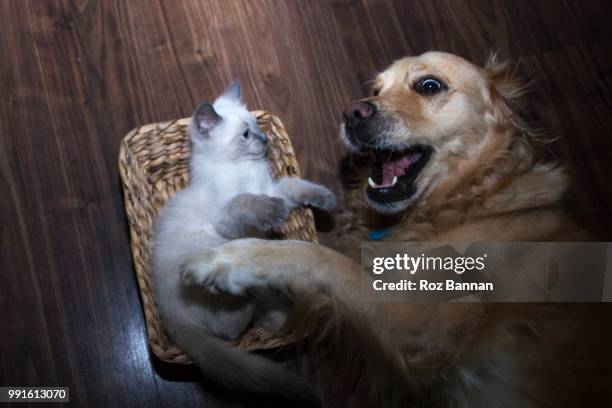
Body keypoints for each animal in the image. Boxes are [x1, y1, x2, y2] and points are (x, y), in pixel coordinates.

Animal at [152, 83, 334, 404]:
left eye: (257, 128)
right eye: (246, 134)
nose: (264, 140)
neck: (243, 168)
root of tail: (172, 320)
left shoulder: (274, 189)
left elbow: (295, 186)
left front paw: (326, 198)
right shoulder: (229, 219)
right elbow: (247, 201)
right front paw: (273, 213)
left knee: (260, 320)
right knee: (232, 328)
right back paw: (239, 285)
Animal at [180, 52, 608, 406]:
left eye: (429, 85)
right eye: (375, 90)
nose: (351, 113)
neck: (467, 199)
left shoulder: (422, 325)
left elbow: (321, 258)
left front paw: (229, 260)